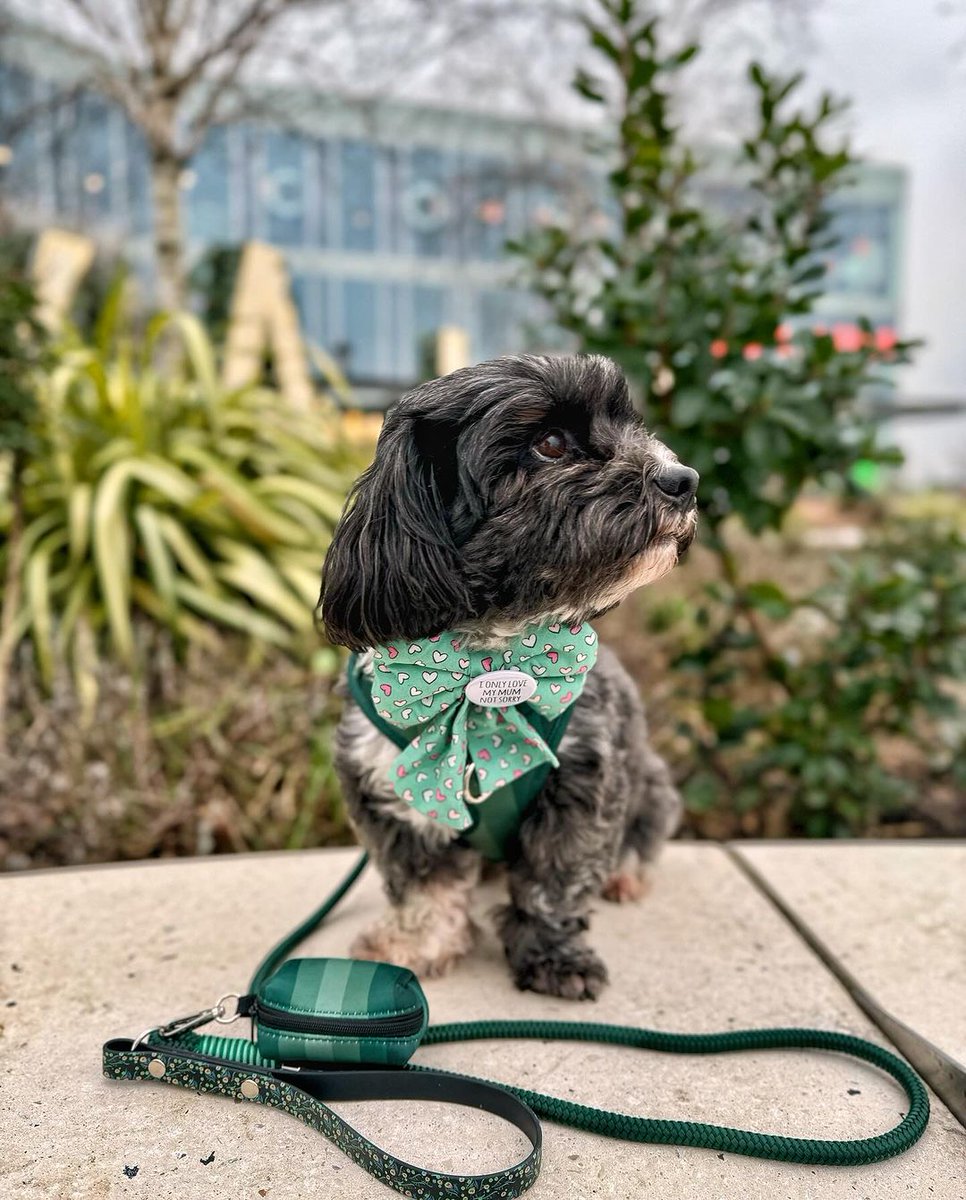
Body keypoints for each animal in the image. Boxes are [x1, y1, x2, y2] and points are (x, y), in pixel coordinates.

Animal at [319, 350, 696, 998]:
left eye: (631, 424)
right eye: (550, 443)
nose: (684, 479)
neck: (483, 667)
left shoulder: (584, 778)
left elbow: (553, 882)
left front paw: (555, 957)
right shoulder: (387, 785)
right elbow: (422, 884)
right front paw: (418, 945)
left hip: (649, 781)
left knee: (639, 836)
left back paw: (623, 875)